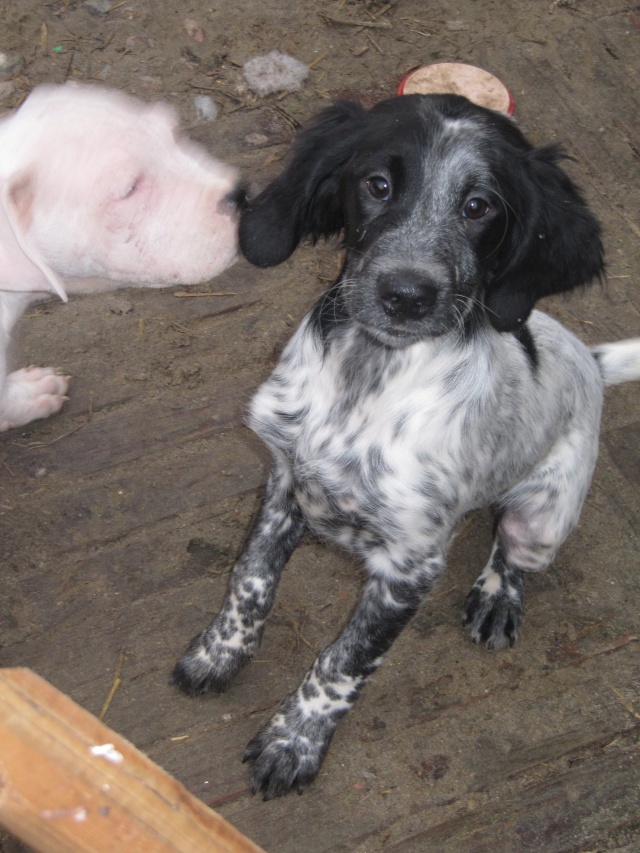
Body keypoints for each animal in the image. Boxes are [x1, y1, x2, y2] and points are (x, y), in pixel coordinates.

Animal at [174, 95, 640, 800]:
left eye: (479, 206)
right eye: (377, 185)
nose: (406, 295)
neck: (367, 379)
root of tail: (588, 359)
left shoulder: (410, 568)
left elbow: (346, 659)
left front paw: (294, 740)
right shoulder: (285, 480)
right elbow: (249, 580)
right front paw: (219, 652)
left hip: (543, 518)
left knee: (512, 551)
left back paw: (497, 595)